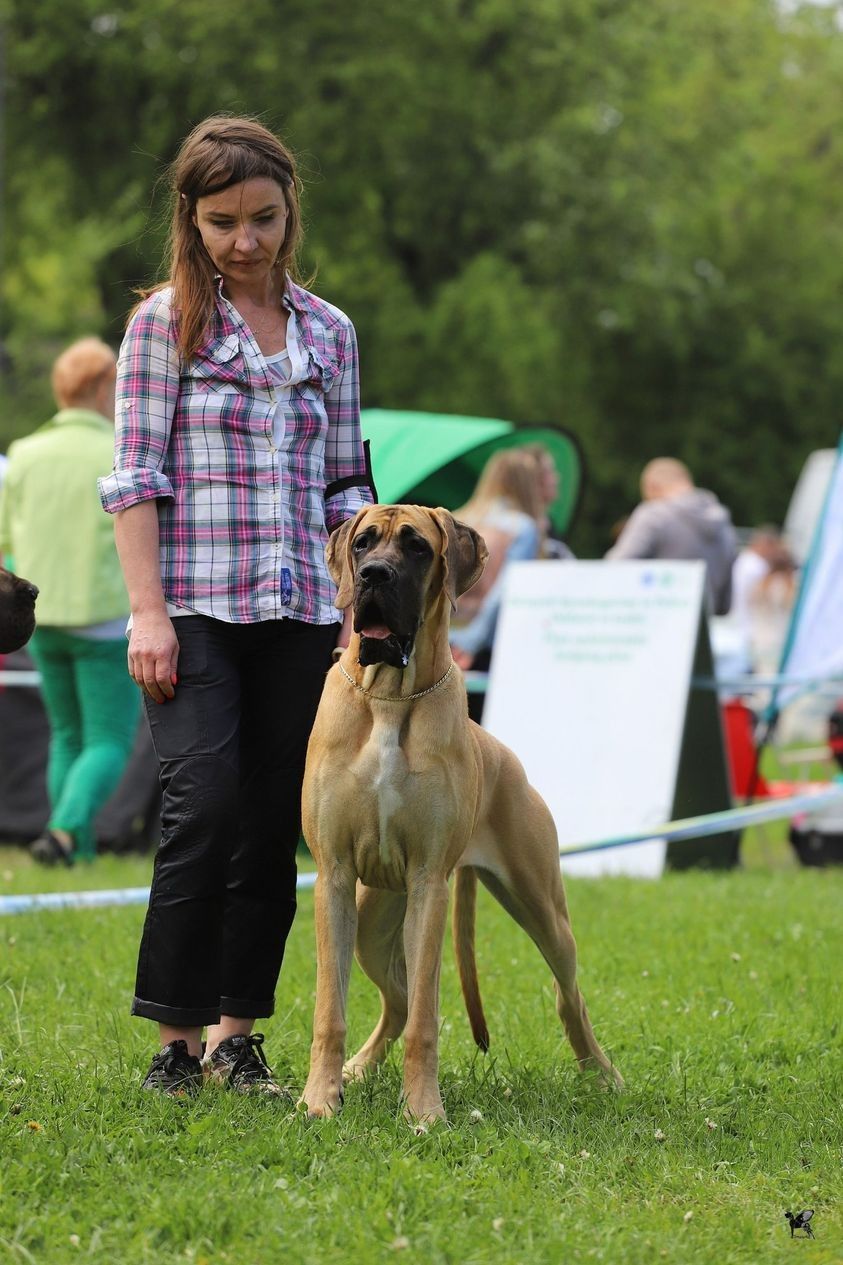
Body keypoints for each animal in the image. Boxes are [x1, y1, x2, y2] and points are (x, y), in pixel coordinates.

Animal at [300, 504, 622, 1125]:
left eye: (417, 547)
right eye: (363, 543)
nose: (373, 575)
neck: (390, 696)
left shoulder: (430, 883)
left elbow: (427, 1017)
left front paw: (424, 1111)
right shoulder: (334, 876)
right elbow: (331, 1008)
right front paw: (319, 1099)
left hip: (542, 907)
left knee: (568, 996)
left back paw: (602, 1075)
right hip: (371, 921)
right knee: (397, 999)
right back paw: (358, 1068)